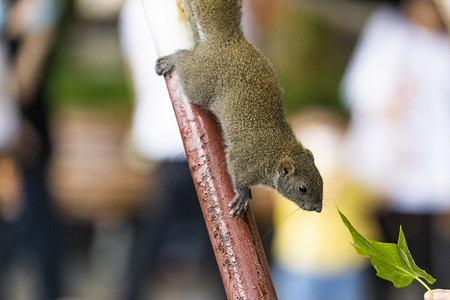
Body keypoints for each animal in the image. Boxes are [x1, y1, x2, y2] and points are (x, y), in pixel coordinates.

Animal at [156, 0, 322, 216]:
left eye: (321, 181)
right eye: (302, 188)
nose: (318, 208)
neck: (278, 152)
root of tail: (228, 39)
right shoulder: (245, 163)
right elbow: (237, 175)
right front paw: (242, 196)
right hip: (199, 82)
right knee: (184, 62)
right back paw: (172, 60)